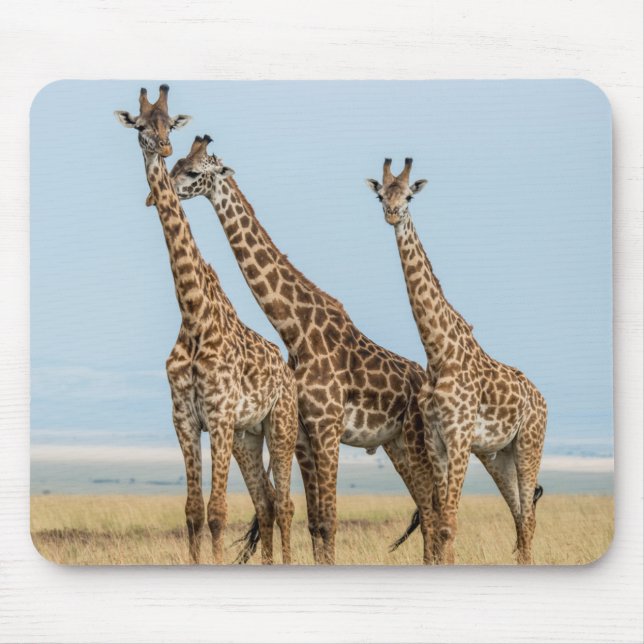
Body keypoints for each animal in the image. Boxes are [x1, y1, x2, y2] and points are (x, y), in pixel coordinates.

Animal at [114, 86, 298, 565]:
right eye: (141, 125)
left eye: (168, 125)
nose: (162, 148)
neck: (194, 313)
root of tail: (287, 369)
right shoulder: (183, 419)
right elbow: (194, 512)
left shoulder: (217, 416)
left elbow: (217, 512)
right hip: (247, 435)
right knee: (266, 502)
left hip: (280, 425)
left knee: (286, 504)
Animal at [164, 135, 437, 565]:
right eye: (175, 164)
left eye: (192, 171)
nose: (163, 189)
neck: (296, 330)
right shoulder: (306, 436)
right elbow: (315, 521)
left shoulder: (327, 428)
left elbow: (329, 519)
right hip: (394, 445)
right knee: (428, 510)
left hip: (415, 441)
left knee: (432, 510)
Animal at [366, 158, 548, 564]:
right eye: (381, 195)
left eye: (409, 195)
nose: (392, 213)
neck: (438, 353)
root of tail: (542, 398)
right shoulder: (436, 439)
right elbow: (441, 523)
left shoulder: (459, 435)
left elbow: (448, 523)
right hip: (498, 455)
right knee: (519, 516)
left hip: (530, 443)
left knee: (529, 517)